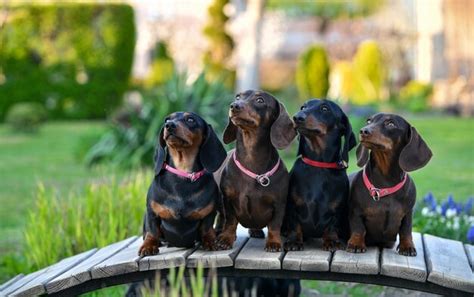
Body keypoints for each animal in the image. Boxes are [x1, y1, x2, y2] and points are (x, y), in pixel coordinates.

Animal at [138, 111, 227, 254]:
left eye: (190, 119)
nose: (169, 125)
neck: (183, 173)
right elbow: (152, 231)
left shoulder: (209, 214)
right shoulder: (151, 212)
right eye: (167, 119)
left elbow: (207, 228)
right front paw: (148, 245)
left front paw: (210, 241)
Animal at [216, 89, 296, 250]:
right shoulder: (228, 200)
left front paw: (274, 242)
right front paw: (226, 239)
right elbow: (230, 221)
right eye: (238, 97)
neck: (251, 159)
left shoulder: (279, 204)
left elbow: (274, 225)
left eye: (260, 100)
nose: (234, 106)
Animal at [282, 99, 356, 250]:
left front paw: (331, 240)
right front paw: (294, 240)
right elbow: (294, 224)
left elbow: (332, 226)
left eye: (325, 108)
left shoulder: (337, 211)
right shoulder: (292, 206)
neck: (318, 165)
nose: (297, 117)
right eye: (303, 107)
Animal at [346, 112, 432, 256]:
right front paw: (356, 243)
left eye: (390, 123)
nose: (363, 131)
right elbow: (359, 228)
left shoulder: (408, 213)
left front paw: (407, 247)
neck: (385, 184)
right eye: (368, 121)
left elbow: (406, 231)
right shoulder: (356, 211)